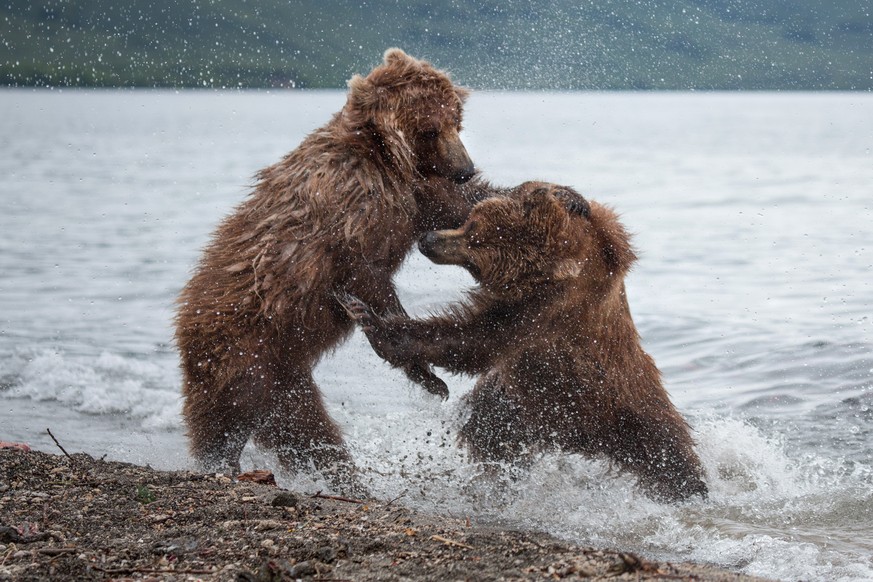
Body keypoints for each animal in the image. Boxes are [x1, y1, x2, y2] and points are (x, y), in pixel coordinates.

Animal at [174, 49, 510, 492]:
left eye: (457, 120)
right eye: (432, 128)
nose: (466, 167)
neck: (384, 159)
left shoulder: (415, 194)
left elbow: (459, 205)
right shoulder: (349, 210)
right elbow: (366, 275)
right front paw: (421, 367)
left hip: (286, 377)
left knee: (306, 431)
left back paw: (346, 478)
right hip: (242, 349)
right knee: (225, 420)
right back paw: (220, 463)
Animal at [344, 186, 704, 502]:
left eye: (474, 250)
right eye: (471, 223)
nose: (428, 240)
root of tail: (583, 438)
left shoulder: (542, 314)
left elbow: (471, 340)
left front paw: (373, 322)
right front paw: (567, 195)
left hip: (632, 414)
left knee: (674, 462)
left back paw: (691, 491)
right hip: (518, 406)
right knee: (490, 434)